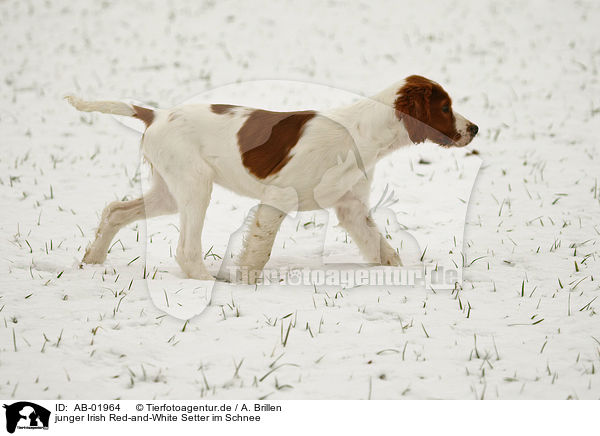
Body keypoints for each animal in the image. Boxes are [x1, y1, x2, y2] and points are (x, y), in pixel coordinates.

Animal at [65, 76, 478, 282]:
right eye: (445, 107)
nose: (474, 128)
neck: (361, 132)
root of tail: (156, 114)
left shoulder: (351, 208)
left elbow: (381, 248)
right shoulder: (278, 200)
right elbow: (259, 250)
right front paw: (246, 280)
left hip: (170, 190)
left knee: (115, 211)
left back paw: (93, 260)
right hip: (195, 186)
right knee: (185, 250)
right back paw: (208, 282)